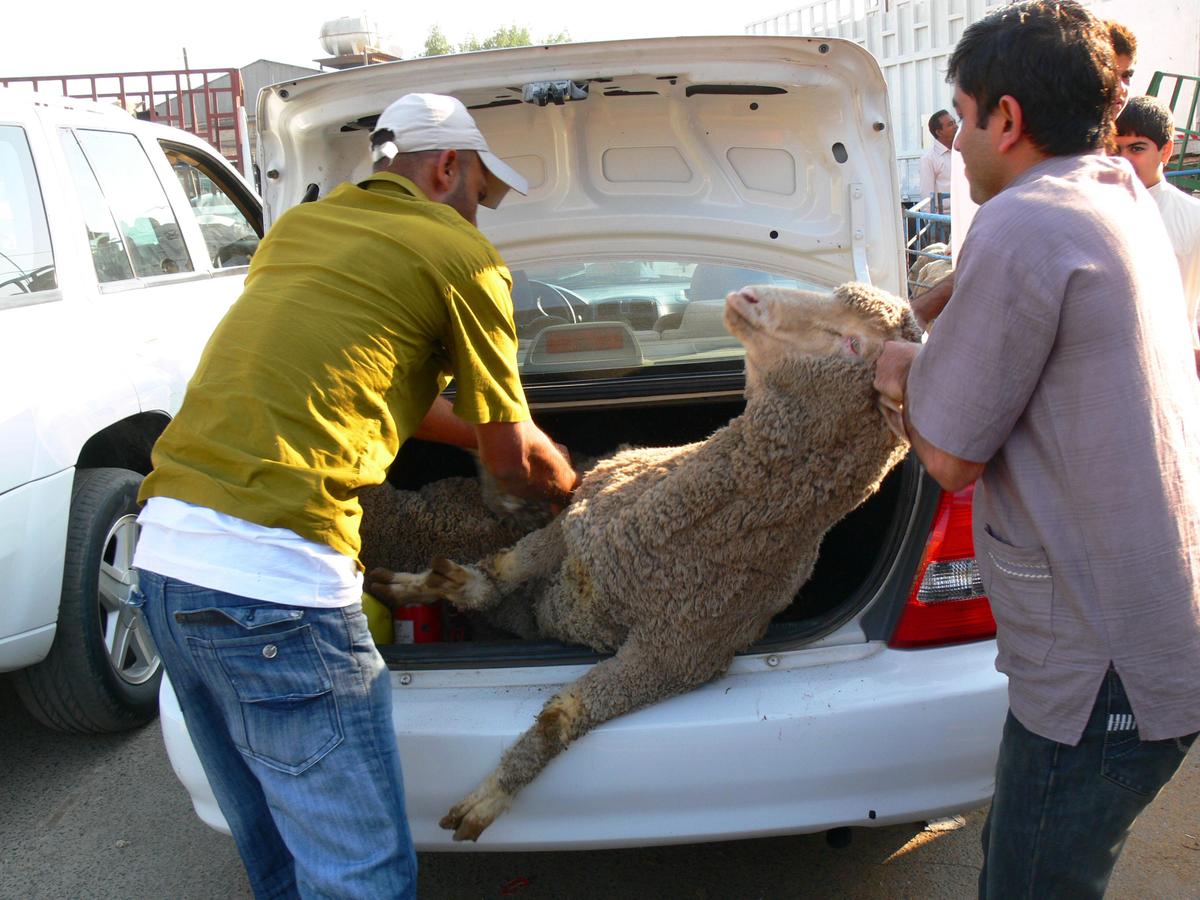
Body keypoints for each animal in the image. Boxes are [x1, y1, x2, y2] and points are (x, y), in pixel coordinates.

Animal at [364, 278, 916, 844]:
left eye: (853, 343)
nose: (748, 297)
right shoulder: (574, 524)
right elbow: (507, 568)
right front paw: (431, 585)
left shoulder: (673, 655)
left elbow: (559, 718)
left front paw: (494, 791)